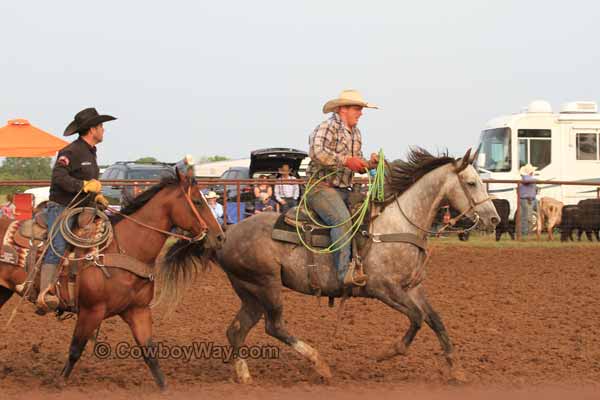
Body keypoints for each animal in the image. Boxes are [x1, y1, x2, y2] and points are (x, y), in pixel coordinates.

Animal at [0, 167, 223, 390]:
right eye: (197, 201)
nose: (220, 237)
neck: (124, 247)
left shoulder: (138, 310)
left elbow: (149, 352)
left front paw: (165, 389)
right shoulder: (91, 311)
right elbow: (75, 349)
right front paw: (59, 382)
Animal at [210, 149, 496, 384]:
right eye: (471, 183)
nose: (494, 218)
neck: (398, 225)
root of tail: (227, 234)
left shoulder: (412, 288)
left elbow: (436, 320)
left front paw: (457, 370)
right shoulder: (383, 288)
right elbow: (417, 317)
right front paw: (388, 352)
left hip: (251, 292)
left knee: (236, 330)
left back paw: (244, 375)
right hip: (266, 285)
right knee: (274, 326)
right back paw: (320, 364)